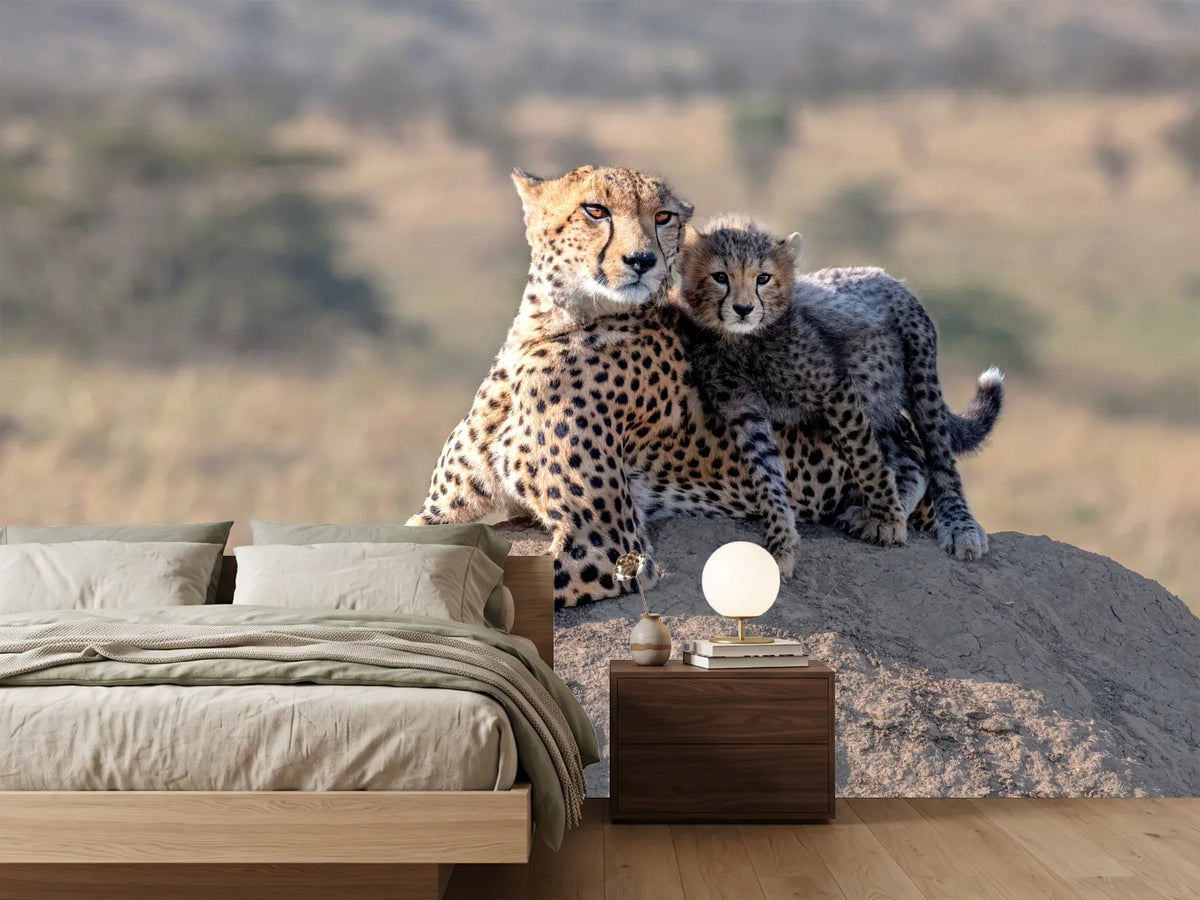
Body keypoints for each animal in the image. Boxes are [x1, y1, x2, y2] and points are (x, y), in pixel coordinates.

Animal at [408, 166, 930, 607]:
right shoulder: (437, 515)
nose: (642, 260)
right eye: (595, 210)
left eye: (663, 217)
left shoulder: (605, 546)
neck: (549, 326)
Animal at [675, 214, 1003, 567]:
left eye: (763, 278)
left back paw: (959, 527)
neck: (742, 342)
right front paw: (781, 543)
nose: (744, 308)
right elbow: (766, 473)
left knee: (939, 457)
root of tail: (883, 274)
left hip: (919, 377)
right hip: (875, 402)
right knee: (910, 461)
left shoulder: (835, 390)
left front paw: (888, 520)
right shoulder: (743, 410)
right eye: (720, 277)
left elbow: (866, 459)